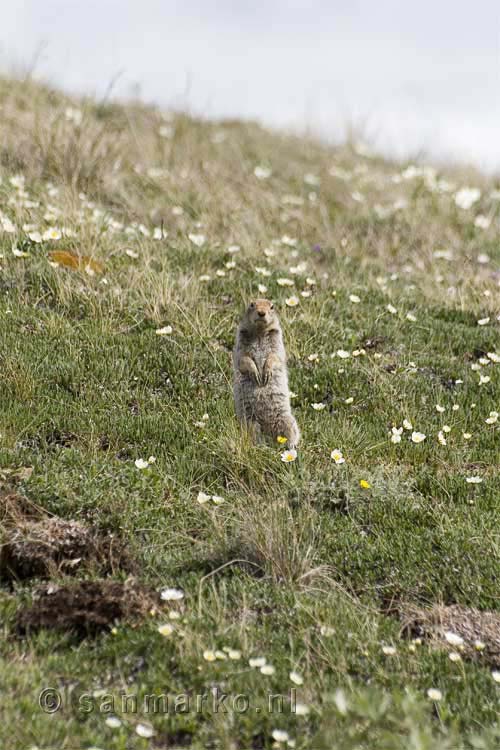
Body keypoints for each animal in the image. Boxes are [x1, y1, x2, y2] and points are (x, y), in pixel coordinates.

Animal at [231, 300, 298, 450]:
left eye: (272, 306)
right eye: (251, 304)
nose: (261, 312)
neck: (259, 332)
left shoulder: (277, 339)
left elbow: (275, 355)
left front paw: (266, 373)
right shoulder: (240, 339)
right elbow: (243, 358)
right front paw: (255, 374)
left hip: (286, 420)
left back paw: (290, 447)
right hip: (249, 422)